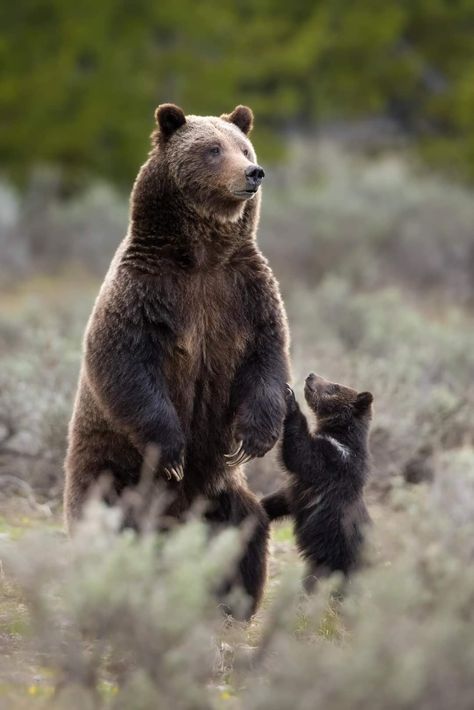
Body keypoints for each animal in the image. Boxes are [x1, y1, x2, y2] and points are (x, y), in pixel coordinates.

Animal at [65, 104, 290, 616]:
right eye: (212, 149)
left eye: (244, 146)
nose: (254, 173)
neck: (203, 256)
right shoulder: (147, 292)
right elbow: (124, 364)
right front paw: (171, 452)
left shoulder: (246, 293)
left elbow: (268, 358)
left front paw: (253, 437)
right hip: (111, 472)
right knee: (106, 523)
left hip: (221, 495)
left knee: (246, 528)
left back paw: (233, 604)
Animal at [262, 376, 372, 592]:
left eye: (334, 387)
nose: (311, 376)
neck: (339, 434)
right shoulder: (303, 488)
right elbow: (283, 499)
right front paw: (263, 506)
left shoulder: (332, 462)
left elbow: (300, 453)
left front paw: (290, 398)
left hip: (334, 556)